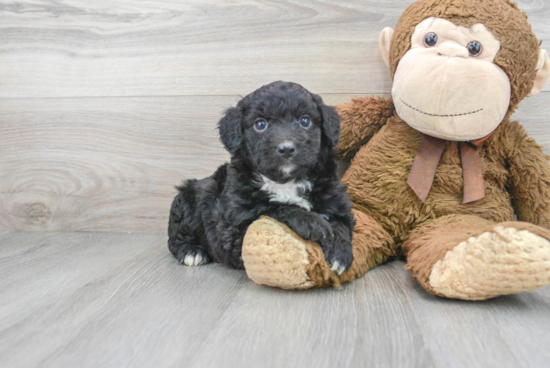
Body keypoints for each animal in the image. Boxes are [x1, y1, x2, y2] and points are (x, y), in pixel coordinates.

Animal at [168, 82, 356, 274]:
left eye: (305, 121)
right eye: (260, 124)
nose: (286, 149)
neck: (285, 182)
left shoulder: (335, 202)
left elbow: (340, 225)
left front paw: (339, 253)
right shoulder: (236, 226)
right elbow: (274, 209)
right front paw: (311, 221)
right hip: (186, 202)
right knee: (176, 237)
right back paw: (191, 251)